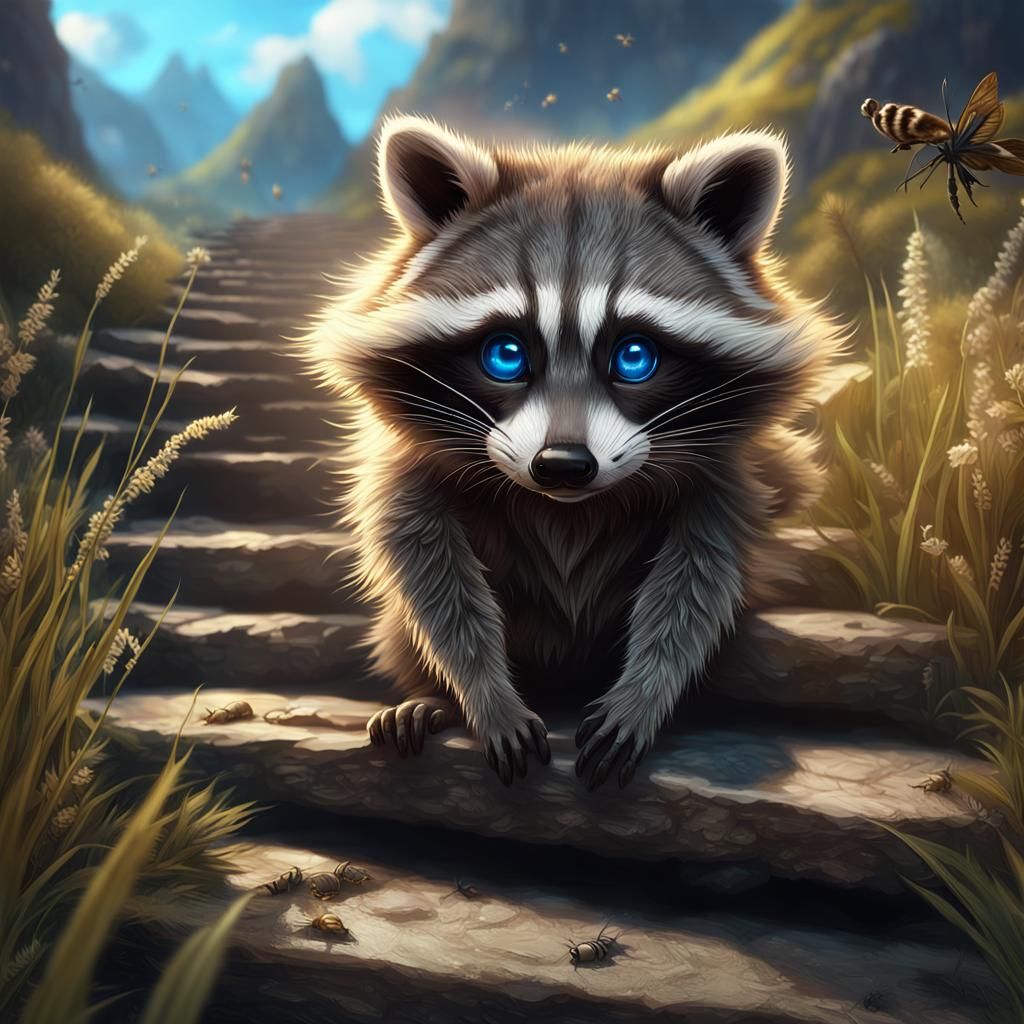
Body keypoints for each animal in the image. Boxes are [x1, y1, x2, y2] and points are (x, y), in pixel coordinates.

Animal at [302, 115, 842, 790]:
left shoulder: (729, 474)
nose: (561, 465)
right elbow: (424, 565)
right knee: (405, 622)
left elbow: (699, 579)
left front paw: (646, 692)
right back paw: (431, 699)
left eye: (634, 356)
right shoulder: (406, 460)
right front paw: (483, 693)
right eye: (505, 354)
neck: (567, 505)